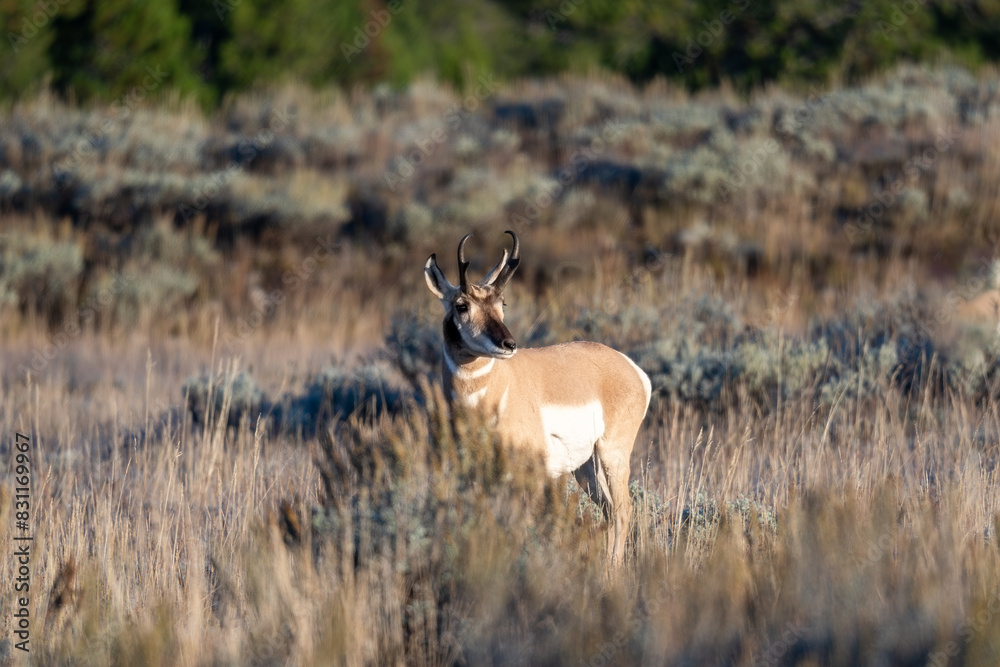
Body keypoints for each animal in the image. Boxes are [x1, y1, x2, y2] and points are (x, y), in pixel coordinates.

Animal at [424, 231, 651, 564]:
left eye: (502, 302)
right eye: (462, 305)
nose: (509, 343)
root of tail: (631, 368)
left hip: (612, 455)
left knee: (623, 511)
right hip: (586, 467)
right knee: (609, 511)